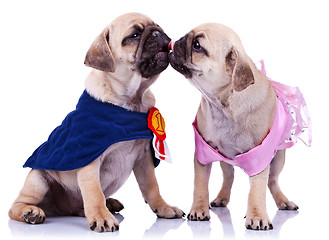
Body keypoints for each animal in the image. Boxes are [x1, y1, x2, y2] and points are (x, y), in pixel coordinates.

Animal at [9, 13, 184, 232]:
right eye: (134, 35)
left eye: (158, 26)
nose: (157, 33)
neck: (132, 101)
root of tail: (62, 209)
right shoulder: (90, 159)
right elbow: (94, 192)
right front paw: (101, 217)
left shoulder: (144, 158)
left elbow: (152, 187)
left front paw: (164, 207)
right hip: (38, 180)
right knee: (16, 205)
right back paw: (30, 212)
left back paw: (109, 203)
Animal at [169, 23, 300, 231]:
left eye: (197, 45)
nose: (179, 40)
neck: (223, 104)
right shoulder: (203, 153)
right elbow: (200, 185)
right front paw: (199, 209)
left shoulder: (258, 156)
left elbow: (257, 189)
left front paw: (257, 216)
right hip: (225, 158)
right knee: (228, 176)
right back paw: (221, 198)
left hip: (279, 157)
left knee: (272, 181)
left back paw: (283, 201)